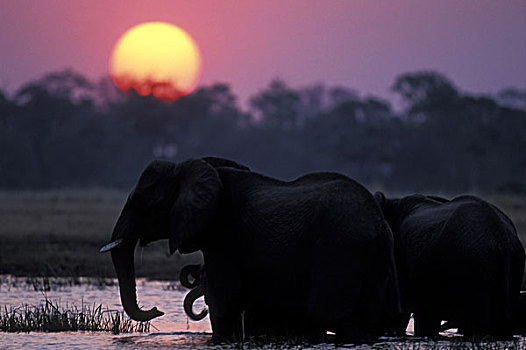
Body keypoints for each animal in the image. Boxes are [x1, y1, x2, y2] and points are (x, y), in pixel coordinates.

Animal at [101, 157, 402, 342]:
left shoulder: (225, 236)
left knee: (331, 316)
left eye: (141, 201)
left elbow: (223, 300)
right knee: (369, 320)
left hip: (340, 251)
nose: (157, 310)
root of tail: (378, 222)